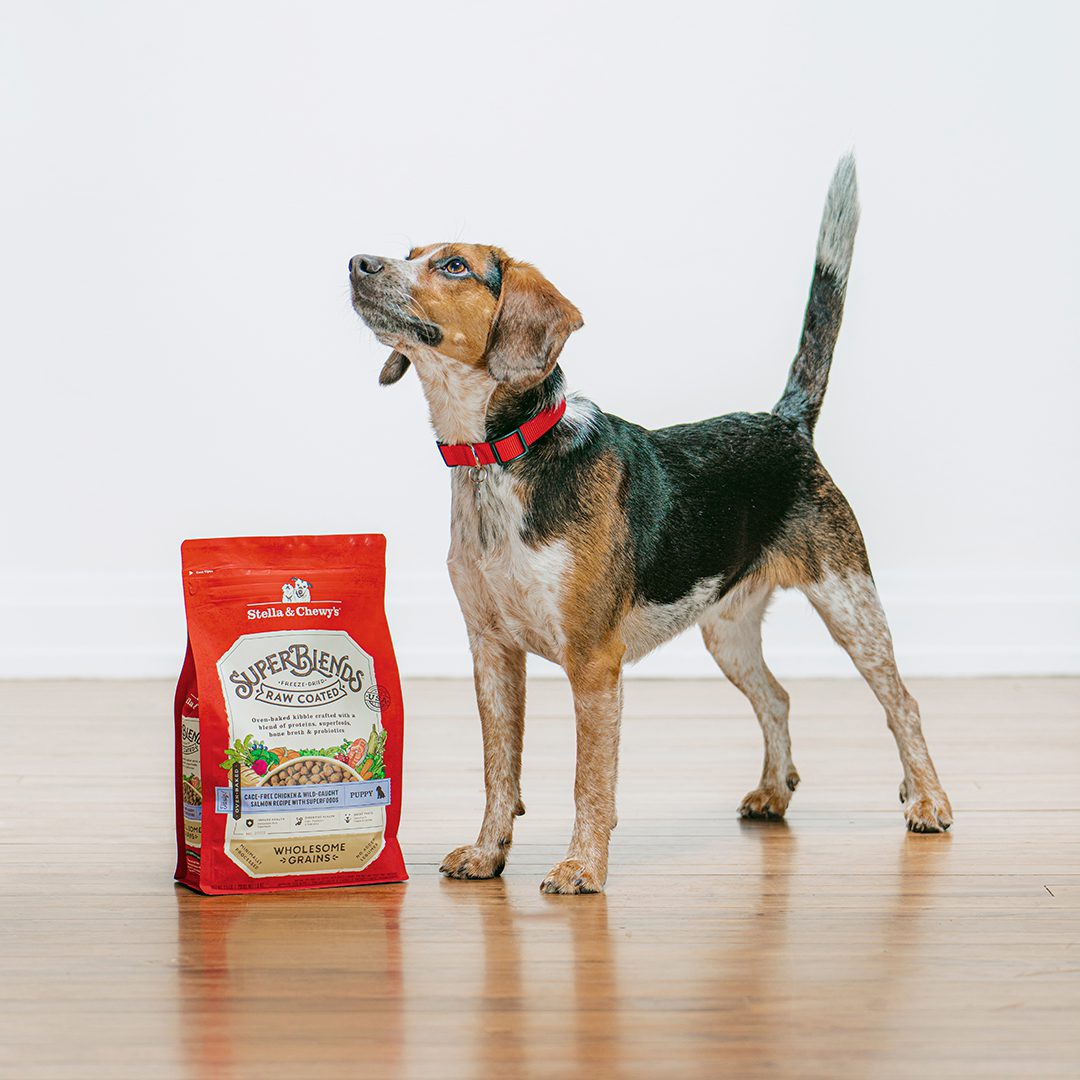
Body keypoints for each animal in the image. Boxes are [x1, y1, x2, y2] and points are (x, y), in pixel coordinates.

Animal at [349, 152, 950, 894]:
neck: (499, 457)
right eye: (409, 254)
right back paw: (772, 792)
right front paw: (488, 854)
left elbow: (589, 782)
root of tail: (784, 420)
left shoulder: (593, 664)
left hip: (849, 603)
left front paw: (582, 867)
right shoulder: (490, 652)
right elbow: (499, 771)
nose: (358, 262)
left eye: (454, 265)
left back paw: (929, 801)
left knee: (903, 703)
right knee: (778, 698)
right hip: (726, 629)